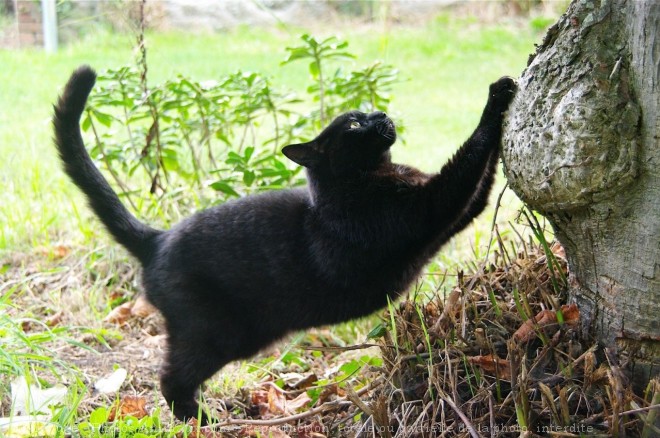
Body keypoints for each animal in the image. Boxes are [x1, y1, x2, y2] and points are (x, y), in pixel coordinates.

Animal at [52, 66, 516, 424]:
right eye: (353, 124)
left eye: (365, 112)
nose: (380, 112)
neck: (357, 184)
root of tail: (157, 239)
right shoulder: (431, 207)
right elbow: (466, 160)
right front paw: (498, 96)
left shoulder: (455, 215)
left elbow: (480, 186)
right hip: (217, 333)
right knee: (170, 379)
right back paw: (203, 421)